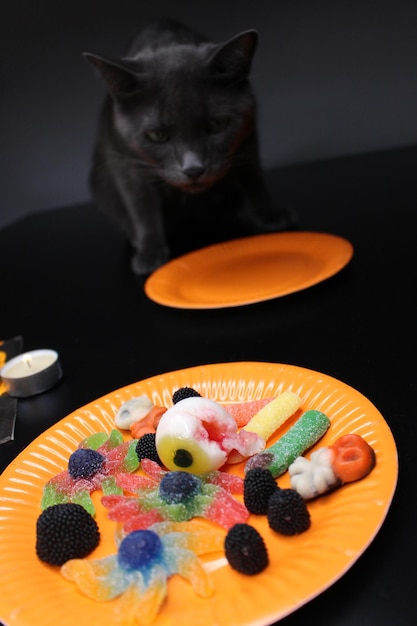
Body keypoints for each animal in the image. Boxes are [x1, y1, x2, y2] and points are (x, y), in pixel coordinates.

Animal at [83, 18, 292, 272]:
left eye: (217, 124)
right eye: (157, 135)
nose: (193, 169)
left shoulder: (247, 137)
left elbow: (253, 177)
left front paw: (272, 216)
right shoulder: (125, 161)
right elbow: (141, 204)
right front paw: (150, 253)